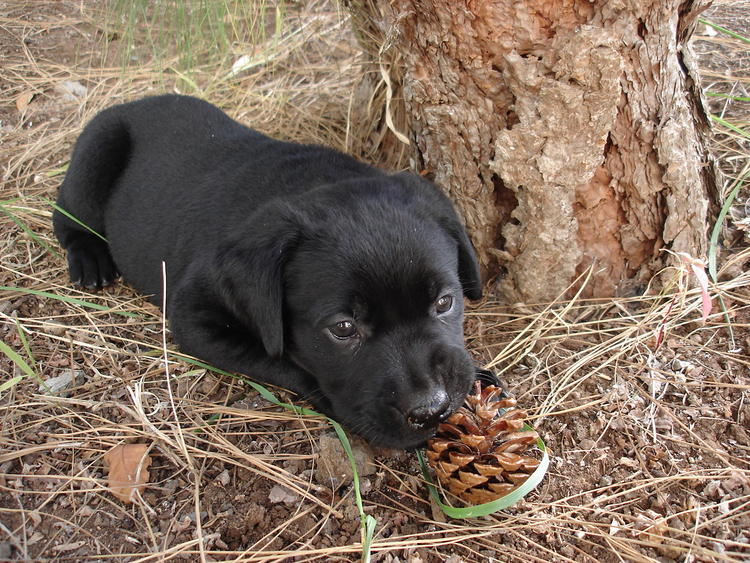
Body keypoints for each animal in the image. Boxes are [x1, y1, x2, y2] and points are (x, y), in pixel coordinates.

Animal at [55, 97, 484, 450]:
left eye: (445, 303)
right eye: (343, 329)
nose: (432, 409)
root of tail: (132, 102)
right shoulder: (194, 315)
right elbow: (283, 362)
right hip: (96, 151)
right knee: (66, 214)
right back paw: (89, 259)